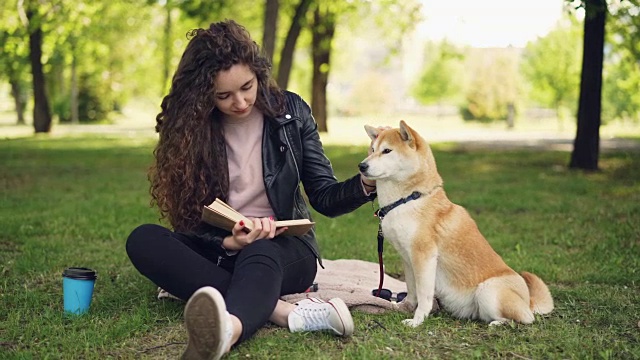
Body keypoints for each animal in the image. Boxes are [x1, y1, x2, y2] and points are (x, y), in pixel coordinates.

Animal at [358, 120, 552, 326]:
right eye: (372, 150)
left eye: (387, 151)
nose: (361, 166)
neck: (408, 199)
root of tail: (528, 301)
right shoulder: (407, 258)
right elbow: (412, 290)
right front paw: (404, 307)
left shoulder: (424, 257)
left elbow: (424, 295)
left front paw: (417, 320)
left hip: (488, 291)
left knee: (524, 318)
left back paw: (498, 323)